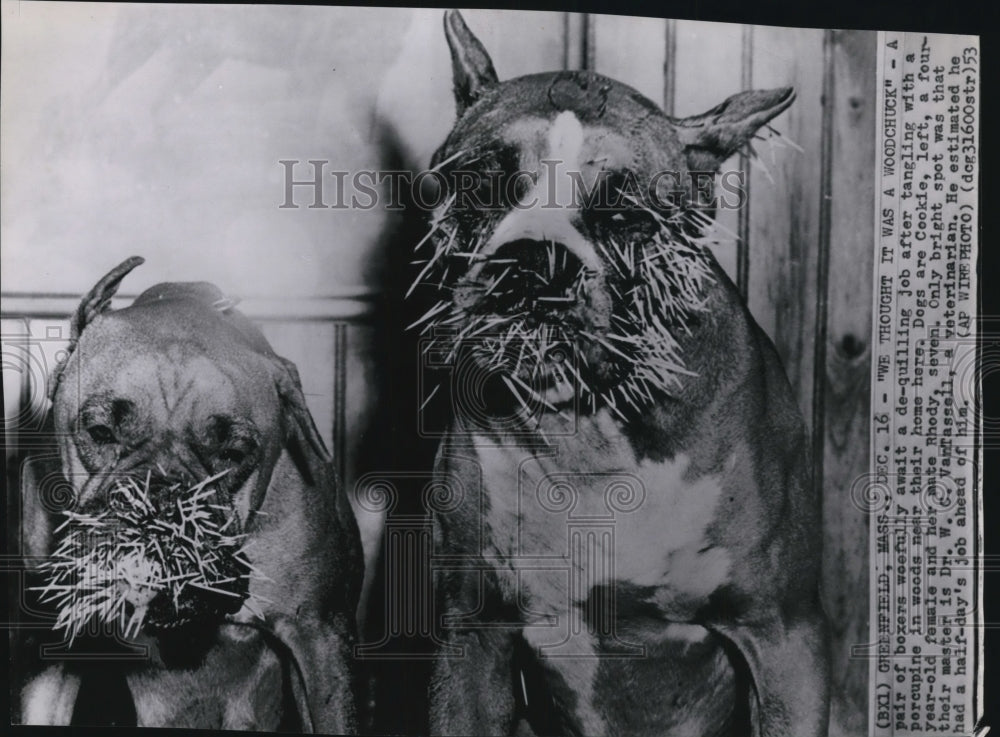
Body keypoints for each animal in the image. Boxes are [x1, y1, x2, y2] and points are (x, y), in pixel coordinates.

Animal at [412, 10, 828, 736]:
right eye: (482, 185)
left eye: (626, 215)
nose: (537, 262)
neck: (587, 439)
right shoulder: (470, 638)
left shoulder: (785, 639)